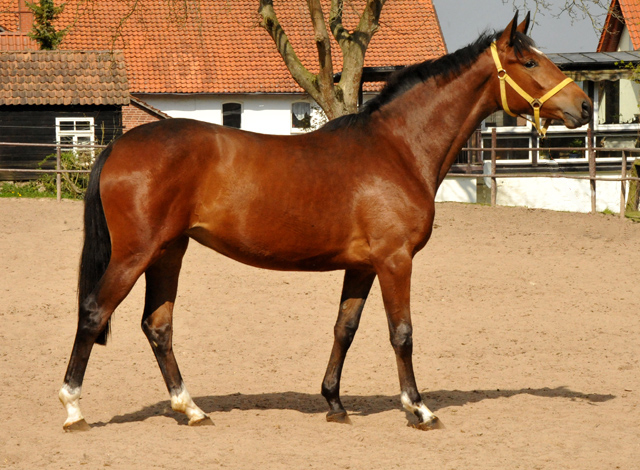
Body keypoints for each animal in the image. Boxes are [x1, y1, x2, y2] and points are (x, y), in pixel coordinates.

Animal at [58, 12, 592, 432]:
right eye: (529, 63)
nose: (584, 106)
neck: (396, 149)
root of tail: (118, 146)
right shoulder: (395, 261)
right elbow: (402, 333)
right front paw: (418, 408)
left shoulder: (362, 266)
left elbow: (345, 328)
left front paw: (334, 402)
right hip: (136, 254)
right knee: (94, 312)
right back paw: (73, 409)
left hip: (169, 252)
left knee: (158, 326)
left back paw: (190, 408)